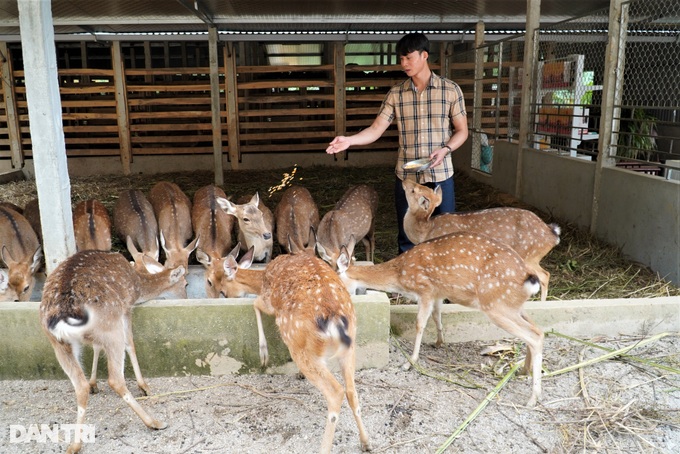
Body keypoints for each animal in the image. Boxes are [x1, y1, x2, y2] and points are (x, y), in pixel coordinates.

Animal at [38, 248, 187, 454]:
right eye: (185, 283)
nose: (187, 296)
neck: (137, 284)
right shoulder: (127, 307)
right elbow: (130, 343)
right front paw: (144, 386)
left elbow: (96, 347)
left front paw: (94, 383)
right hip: (111, 325)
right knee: (115, 378)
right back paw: (154, 422)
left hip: (58, 343)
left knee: (80, 385)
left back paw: (74, 445)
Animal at [255, 252, 372, 450]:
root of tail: (334, 319)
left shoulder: (268, 298)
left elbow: (254, 304)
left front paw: (263, 354)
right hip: (350, 346)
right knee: (352, 392)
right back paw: (366, 442)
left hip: (303, 350)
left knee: (336, 392)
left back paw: (324, 448)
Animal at [338, 232, 544, 406]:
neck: (400, 275)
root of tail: (530, 279)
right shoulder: (438, 293)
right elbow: (437, 316)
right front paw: (438, 342)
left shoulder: (426, 290)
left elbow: (420, 324)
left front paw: (409, 362)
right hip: (514, 306)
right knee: (536, 329)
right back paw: (523, 370)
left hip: (495, 305)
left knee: (535, 335)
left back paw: (532, 398)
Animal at [402, 179, 560, 304]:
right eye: (421, 186)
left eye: (413, 190)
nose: (404, 180)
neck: (426, 231)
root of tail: (553, 234)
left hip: (528, 256)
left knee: (544, 275)